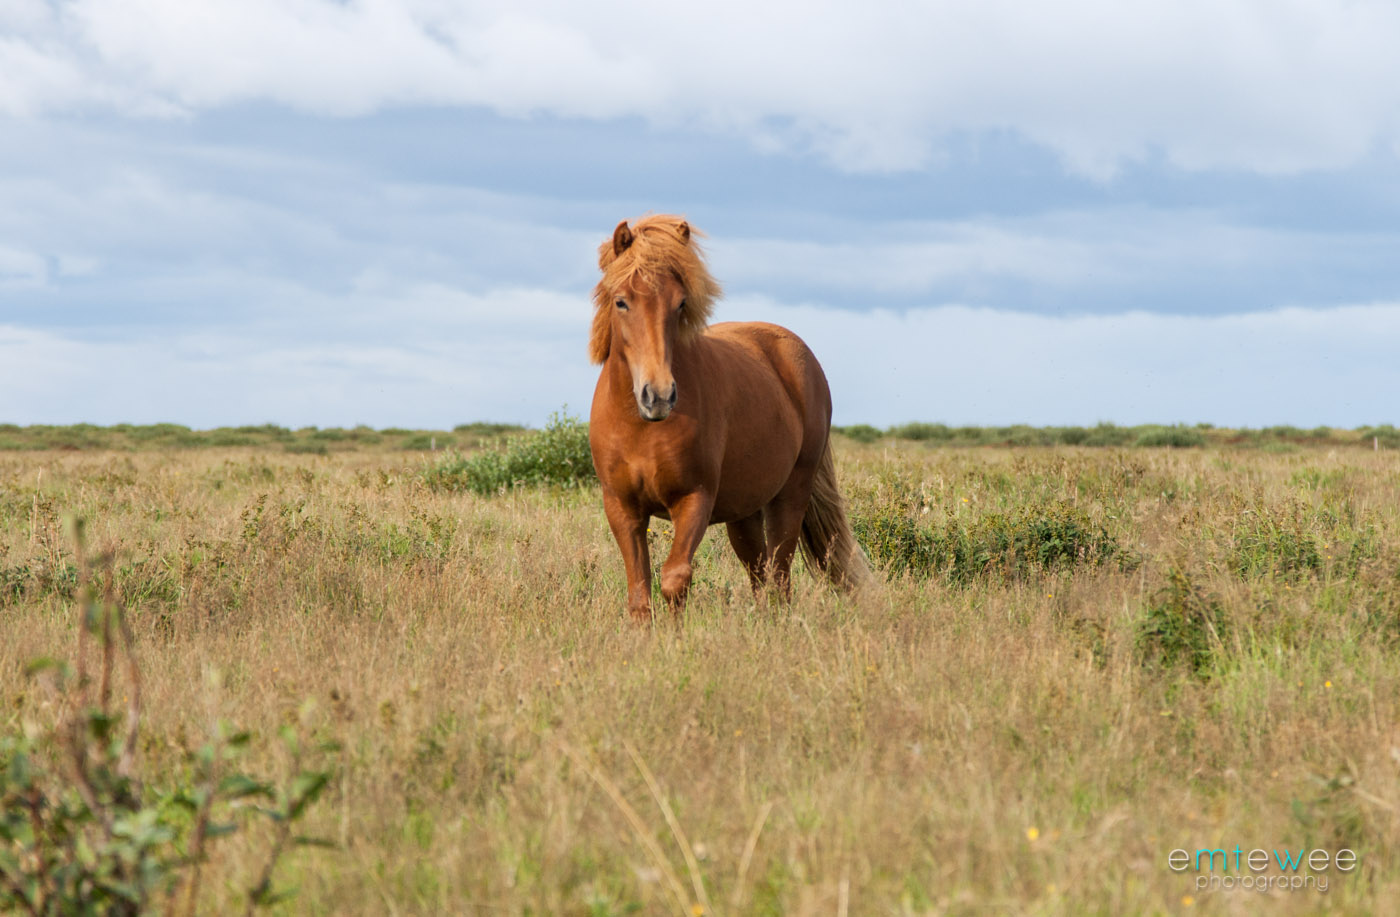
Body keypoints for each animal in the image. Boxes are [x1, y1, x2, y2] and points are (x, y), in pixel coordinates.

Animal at [587, 214, 871, 621]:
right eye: (621, 301)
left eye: (680, 304)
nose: (659, 396)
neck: (641, 428)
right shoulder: (622, 508)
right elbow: (640, 595)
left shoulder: (694, 499)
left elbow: (675, 579)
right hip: (744, 512)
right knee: (760, 574)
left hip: (789, 498)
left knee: (779, 577)